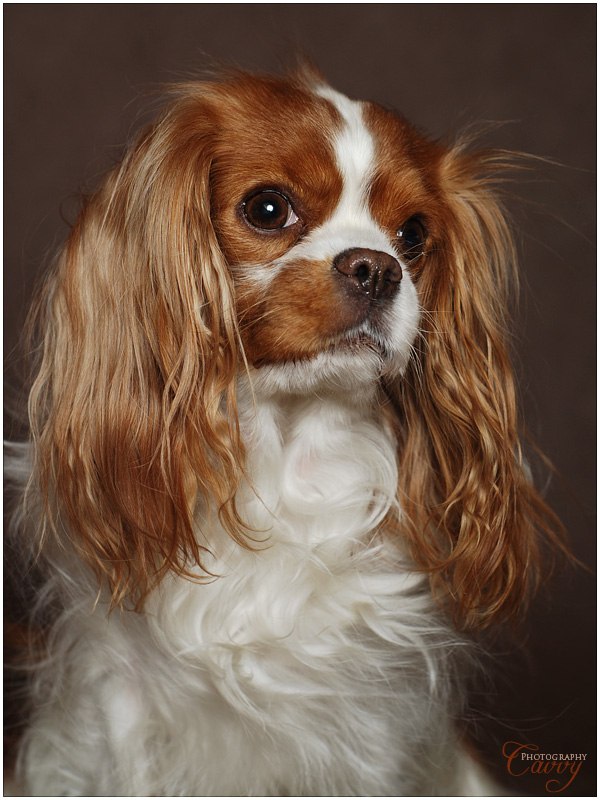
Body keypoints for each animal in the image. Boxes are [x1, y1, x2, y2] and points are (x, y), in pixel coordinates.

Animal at [6, 68, 560, 796]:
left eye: (413, 234)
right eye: (268, 209)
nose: (377, 267)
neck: (285, 458)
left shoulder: (374, 730)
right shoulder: (121, 707)